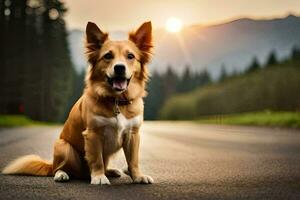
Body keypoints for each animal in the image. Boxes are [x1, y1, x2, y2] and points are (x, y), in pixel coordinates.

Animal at [3, 21, 155, 184]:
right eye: (108, 56)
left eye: (130, 56)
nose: (119, 67)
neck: (116, 100)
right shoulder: (92, 134)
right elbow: (97, 160)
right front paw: (99, 177)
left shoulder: (133, 134)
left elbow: (133, 160)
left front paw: (137, 176)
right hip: (64, 146)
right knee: (61, 168)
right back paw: (62, 174)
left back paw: (111, 171)